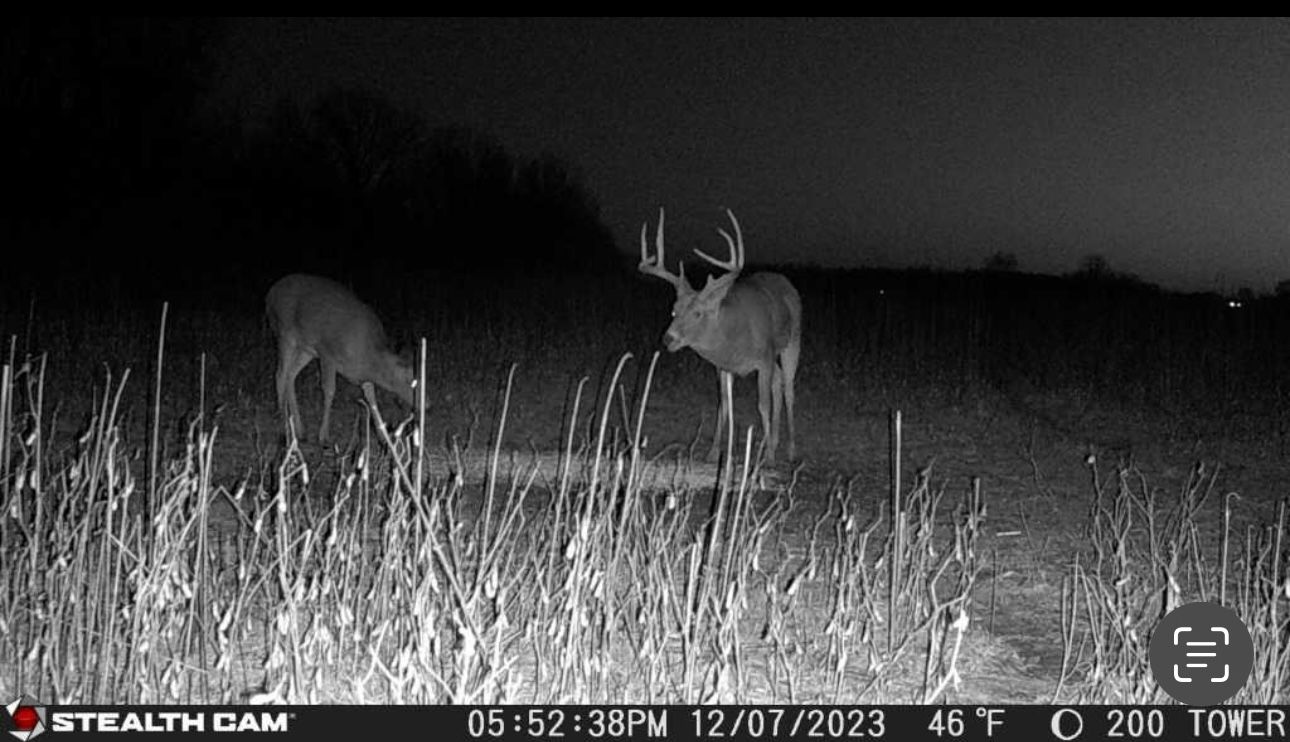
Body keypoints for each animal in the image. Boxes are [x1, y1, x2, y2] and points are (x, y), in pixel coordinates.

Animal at [265, 273, 416, 444]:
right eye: (409, 379)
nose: (428, 405)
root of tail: (271, 293)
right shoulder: (326, 354)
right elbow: (329, 390)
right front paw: (323, 436)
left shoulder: (361, 374)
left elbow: (371, 396)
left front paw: (383, 437)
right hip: (285, 335)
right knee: (280, 374)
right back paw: (282, 421)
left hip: (306, 350)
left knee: (291, 375)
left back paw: (299, 430)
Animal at [638, 208, 801, 463]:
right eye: (674, 310)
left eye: (698, 313)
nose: (668, 338)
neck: (733, 335)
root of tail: (785, 282)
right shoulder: (722, 365)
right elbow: (723, 404)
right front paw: (715, 452)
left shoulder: (764, 357)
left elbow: (762, 404)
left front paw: (769, 458)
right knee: (778, 382)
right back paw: (773, 442)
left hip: (792, 342)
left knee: (788, 388)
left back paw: (790, 449)